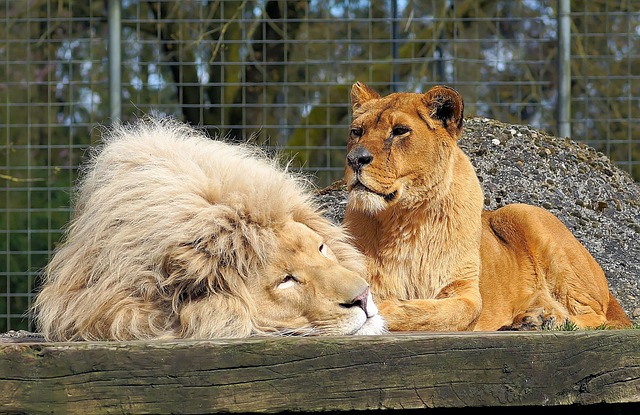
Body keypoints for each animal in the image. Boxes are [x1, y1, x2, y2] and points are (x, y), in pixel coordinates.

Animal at [342, 83, 632, 334]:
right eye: (357, 132)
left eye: (400, 131)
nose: (355, 159)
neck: (404, 218)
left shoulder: (466, 292)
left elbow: (442, 314)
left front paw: (381, 309)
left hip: (521, 213)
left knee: (595, 317)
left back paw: (540, 319)